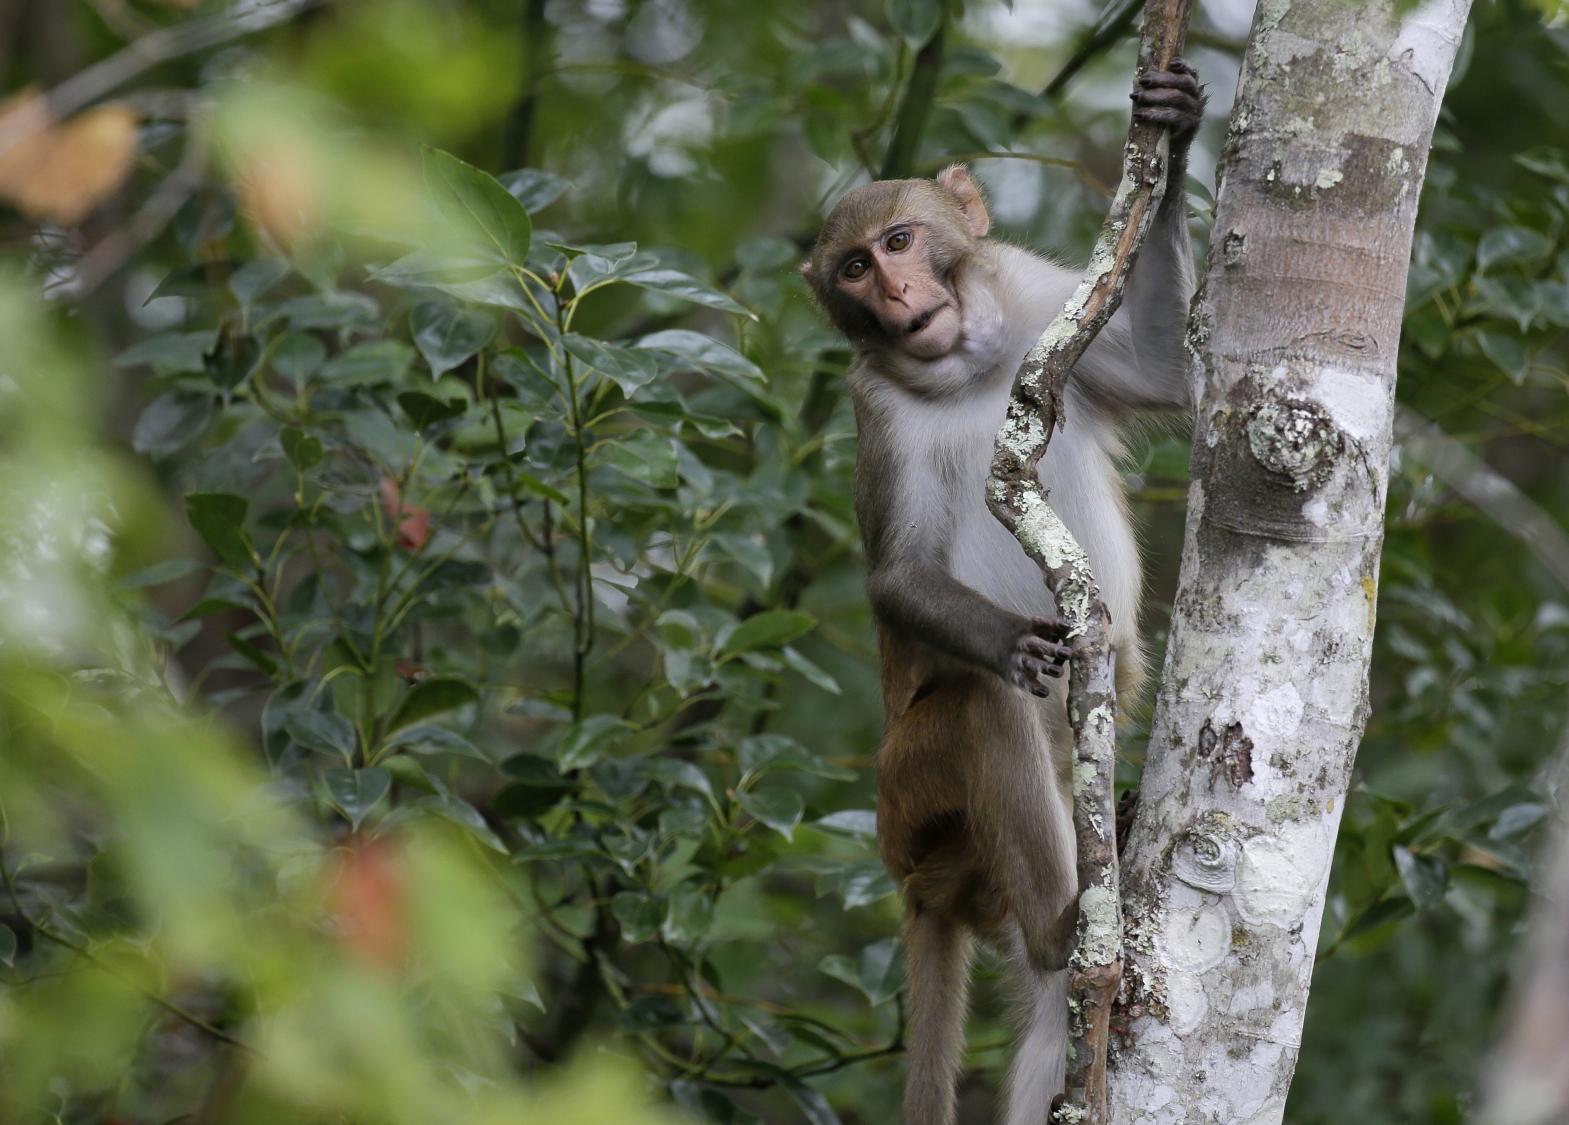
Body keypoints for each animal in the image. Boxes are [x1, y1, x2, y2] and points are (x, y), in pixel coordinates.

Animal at [803, 61, 1204, 1123]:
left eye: (901, 242)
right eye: (853, 268)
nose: (898, 291)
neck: (965, 365)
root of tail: (918, 879)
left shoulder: (1031, 293)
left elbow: (1165, 371)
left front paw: (1175, 131)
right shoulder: (874, 406)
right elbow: (899, 574)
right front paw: (1013, 642)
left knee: (1046, 1026)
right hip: (910, 796)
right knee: (982, 709)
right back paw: (1063, 925)